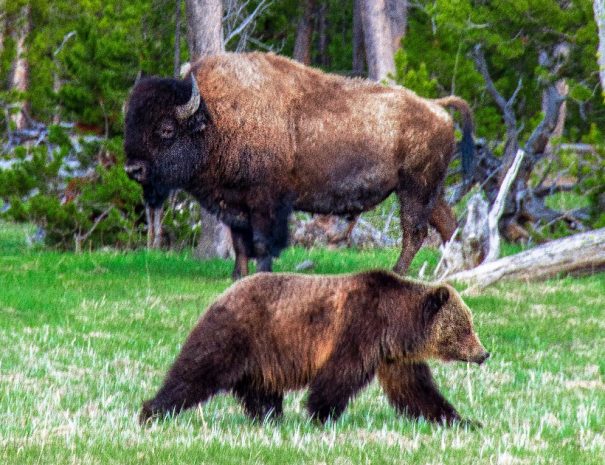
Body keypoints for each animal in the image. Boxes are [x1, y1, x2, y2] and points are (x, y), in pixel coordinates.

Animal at [124, 51, 472, 276]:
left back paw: (399, 272)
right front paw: (237, 275)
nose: (133, 169)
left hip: (414, 188)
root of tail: (436, 107)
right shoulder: (233, 202)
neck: (216, 118)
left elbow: (262, 241)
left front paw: (261, 274)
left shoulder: (264, 200)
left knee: (415, 231)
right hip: (428, 190)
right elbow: (239, 243)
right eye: (130, 123)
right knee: (447, 224)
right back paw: (457, 270)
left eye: (166, 129)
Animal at [139, 268, 488, 424]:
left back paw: (269, 418)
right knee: (196, 372)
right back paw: (152, 411)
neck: (396, 323)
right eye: (466, 327)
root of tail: (223, 293)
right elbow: (339, 376)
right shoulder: (359, 328)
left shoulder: (395, 356)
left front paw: (461, 420)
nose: (484, 353)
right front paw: (321, 415)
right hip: (238, 332)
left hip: (262, 355)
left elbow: (416, 390)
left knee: (260, 390)